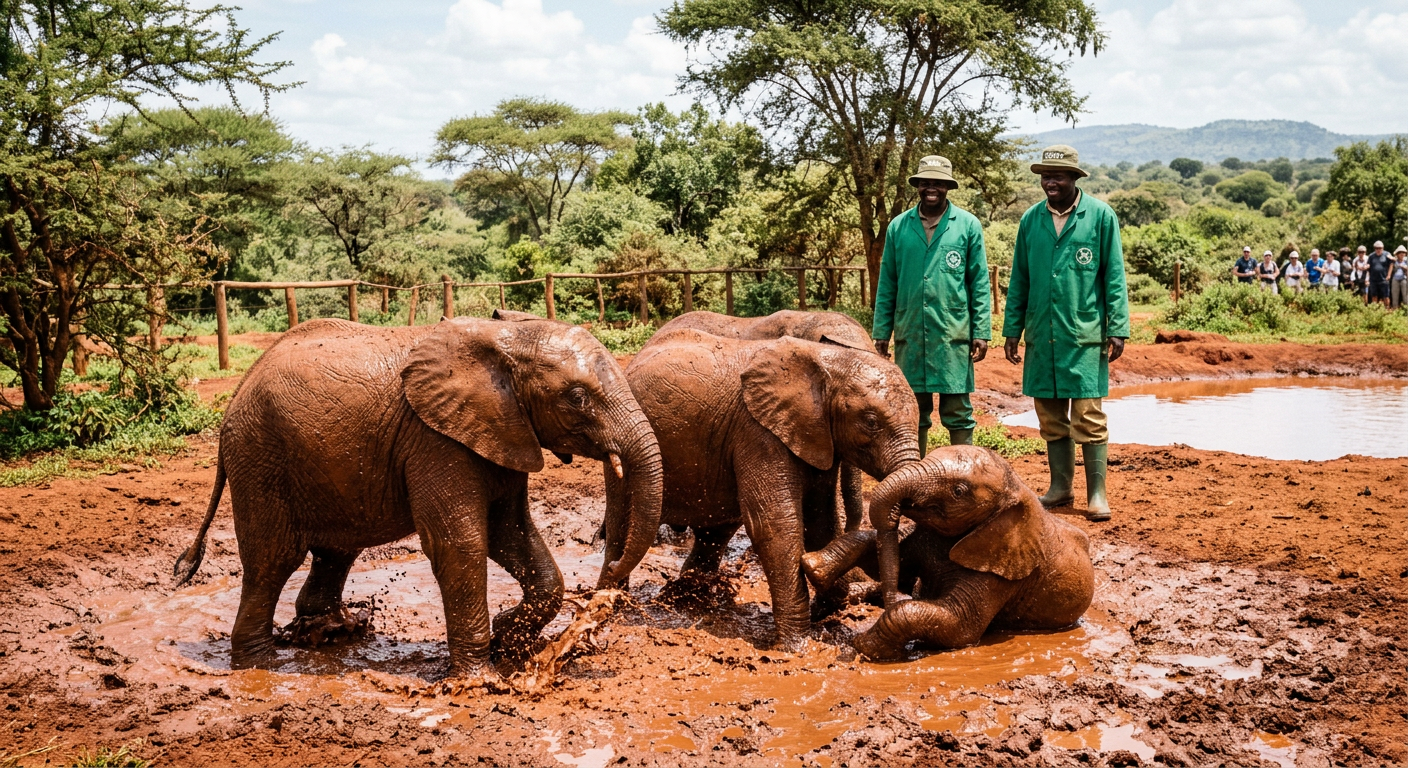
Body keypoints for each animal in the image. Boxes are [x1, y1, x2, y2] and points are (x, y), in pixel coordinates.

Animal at [173, 316, 663, 677]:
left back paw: (331, 632)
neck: (506, 337)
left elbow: (513, 534)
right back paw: (262, 666)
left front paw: (506, 639)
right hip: (260, 456)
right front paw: (479, 679)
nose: (607, 575)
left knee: (336, 550)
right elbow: (462, 544)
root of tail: (238, 389)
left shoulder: (502, 431)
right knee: (272, 559)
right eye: (578, 397)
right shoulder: (436, 439)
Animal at [800, 446, 1093, 659]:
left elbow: (959, 626)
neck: (1016, 487)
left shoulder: (1000, 570)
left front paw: (864, 647)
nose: (892, 597)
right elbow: (886, 555)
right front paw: (812, 567)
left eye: (959, 491)